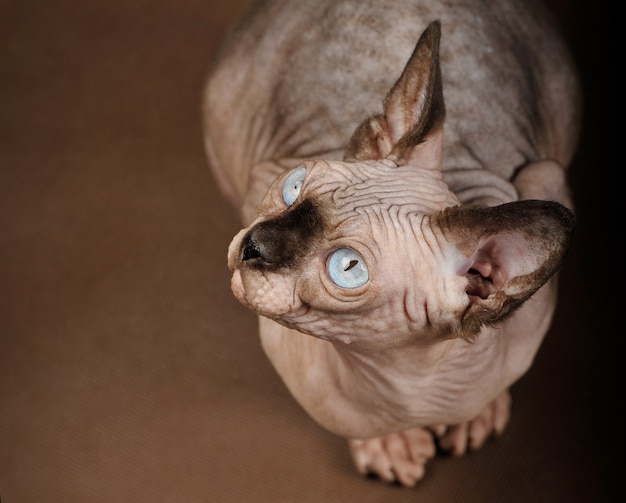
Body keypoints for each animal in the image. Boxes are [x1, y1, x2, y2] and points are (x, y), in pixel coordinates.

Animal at [202, 0, 576, 488]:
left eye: (348, 267)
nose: (254, 245)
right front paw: (388, 442)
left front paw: (473, 415)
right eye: (293, 187)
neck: (412, 382)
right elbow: (357, 420)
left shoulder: (546, 180)